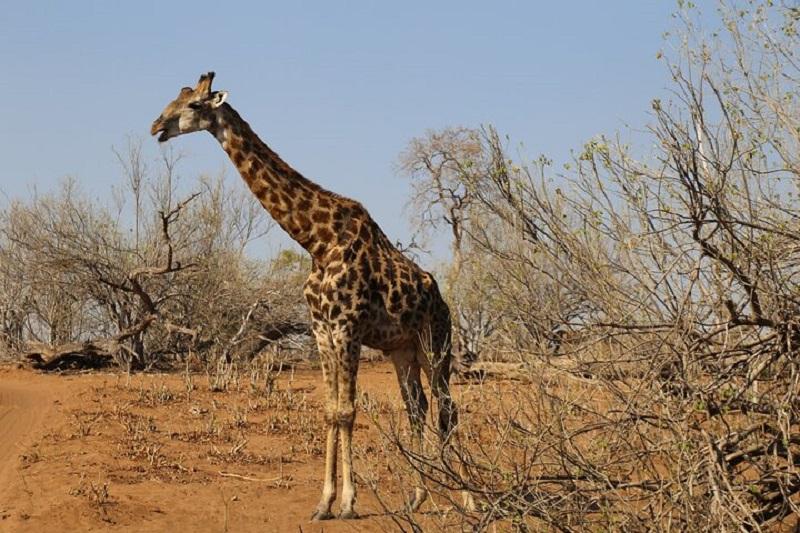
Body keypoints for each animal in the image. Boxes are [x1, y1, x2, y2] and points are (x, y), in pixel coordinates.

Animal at [152, 72, 460, 516]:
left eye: (193, 105)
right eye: (176, 98)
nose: (156, 127)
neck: (317, 241)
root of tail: (443, 302)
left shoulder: (347, 328)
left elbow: (347, 411)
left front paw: (347, 503)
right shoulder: (322, 331)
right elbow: (331, 411)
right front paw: (324, 502)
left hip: (436, 343)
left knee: (447, 408)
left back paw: (465, 496)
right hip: (402, 350)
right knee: (417, 409)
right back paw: (418, 497)